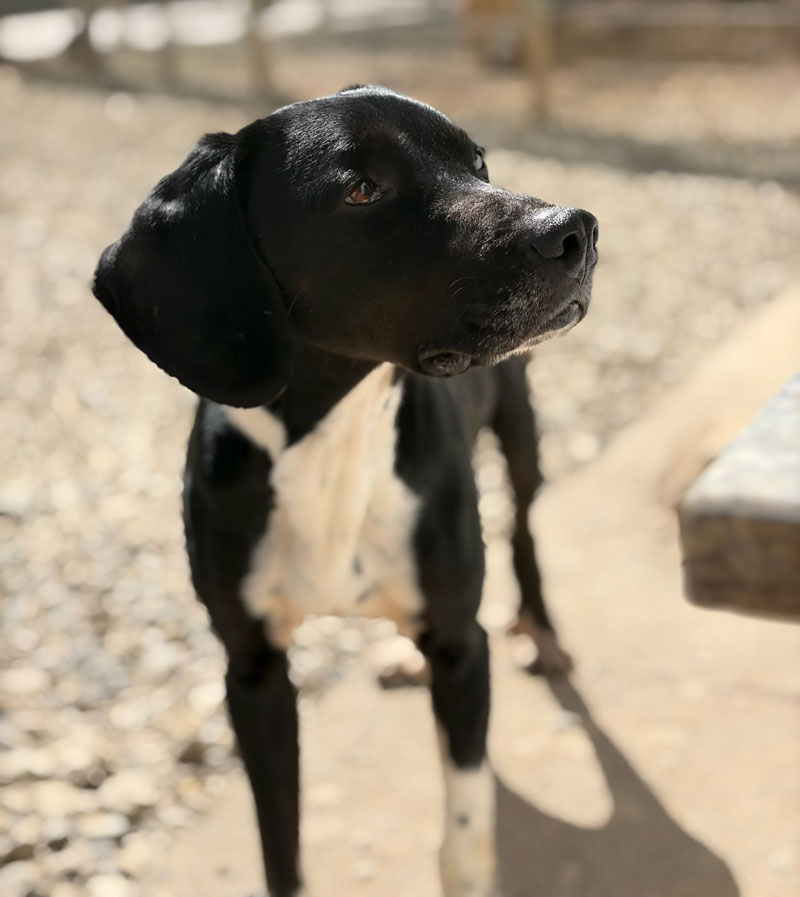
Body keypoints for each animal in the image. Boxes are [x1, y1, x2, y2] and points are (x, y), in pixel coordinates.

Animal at [92, 85, 597, 897]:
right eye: (362, 189)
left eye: (478, 162)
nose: (574, 230)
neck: (333, 441)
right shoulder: (253, 675)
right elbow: (281, 846)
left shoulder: (464, 647)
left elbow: (464, 835)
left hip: (521, 431)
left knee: (523, 525)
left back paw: (543, 632)